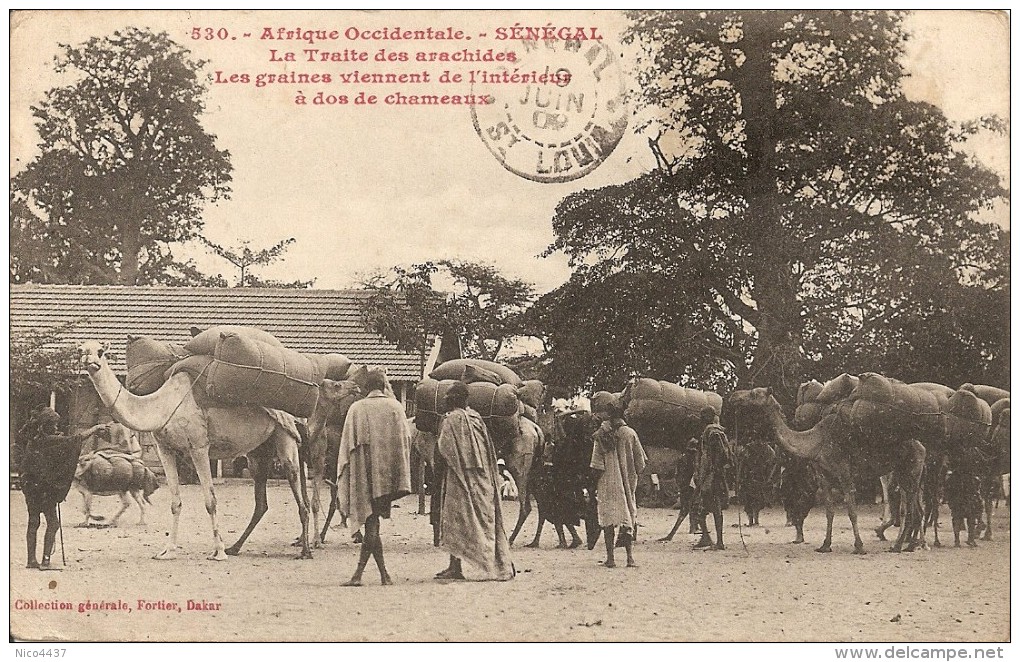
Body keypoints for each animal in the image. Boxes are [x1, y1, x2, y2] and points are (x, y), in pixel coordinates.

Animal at [77, 338, 310, 558]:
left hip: (284, 435)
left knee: (294, 479)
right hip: (258, 451)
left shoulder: (199, 446)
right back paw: (236, 547)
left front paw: (218, 552)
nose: (89, 360)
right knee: (262, 500)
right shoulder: (165, 449)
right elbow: (175, 502)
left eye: (101, 351)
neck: (163, 406)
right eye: (80, 350)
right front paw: (168, 550)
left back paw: (305, 550)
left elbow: (210, 501)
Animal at [722, 387, 930, 550]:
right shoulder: (824, 477)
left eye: (754, 393)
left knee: (911, 510)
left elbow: (852, 511)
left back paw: (900, 546)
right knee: (915, 509)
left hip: (912, 469)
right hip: (904, 472)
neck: (815, 442)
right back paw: (911, 545)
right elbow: (829, 512)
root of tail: (921, 445)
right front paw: (825, 545)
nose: (733, 396)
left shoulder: (845, 473)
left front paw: (859, 546)